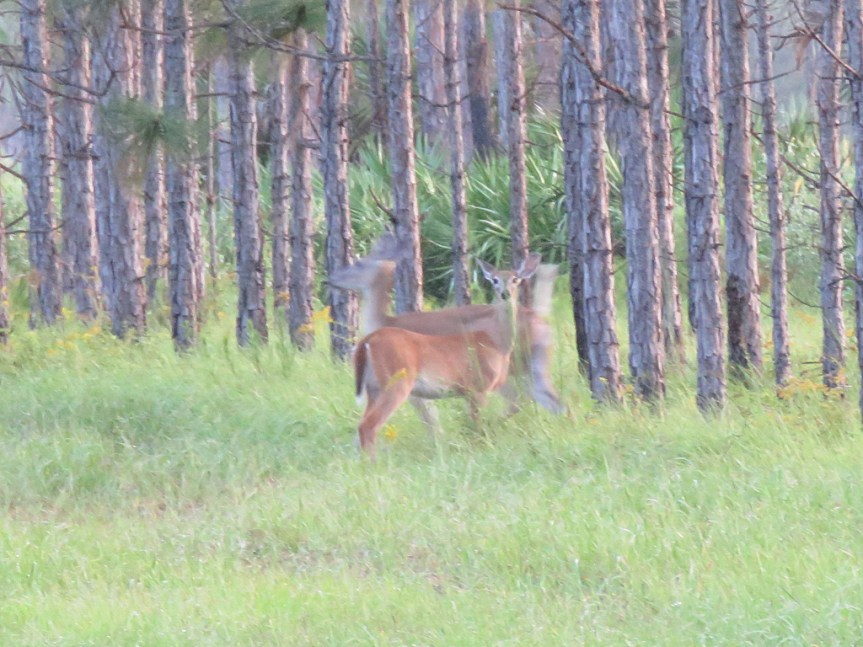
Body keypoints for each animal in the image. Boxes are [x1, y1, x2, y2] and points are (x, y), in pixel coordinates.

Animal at [352, 255, 540, 457]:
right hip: (396, 381)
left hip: (374, 387)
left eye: (515, 279)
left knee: (362, 423)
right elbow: (476, 425)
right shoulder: (477, 387)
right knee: (369, 425)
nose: (505, 294)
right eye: (494, 280)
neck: (497, 342)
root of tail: (367, 340)